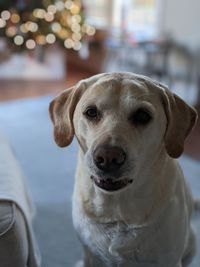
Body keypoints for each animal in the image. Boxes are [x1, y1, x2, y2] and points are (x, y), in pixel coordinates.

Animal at [49, 72, 197, 266]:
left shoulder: (169, 259)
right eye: (91, 112)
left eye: (142, 116)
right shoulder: (90, 255)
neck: (117, 213)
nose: (108, 158)